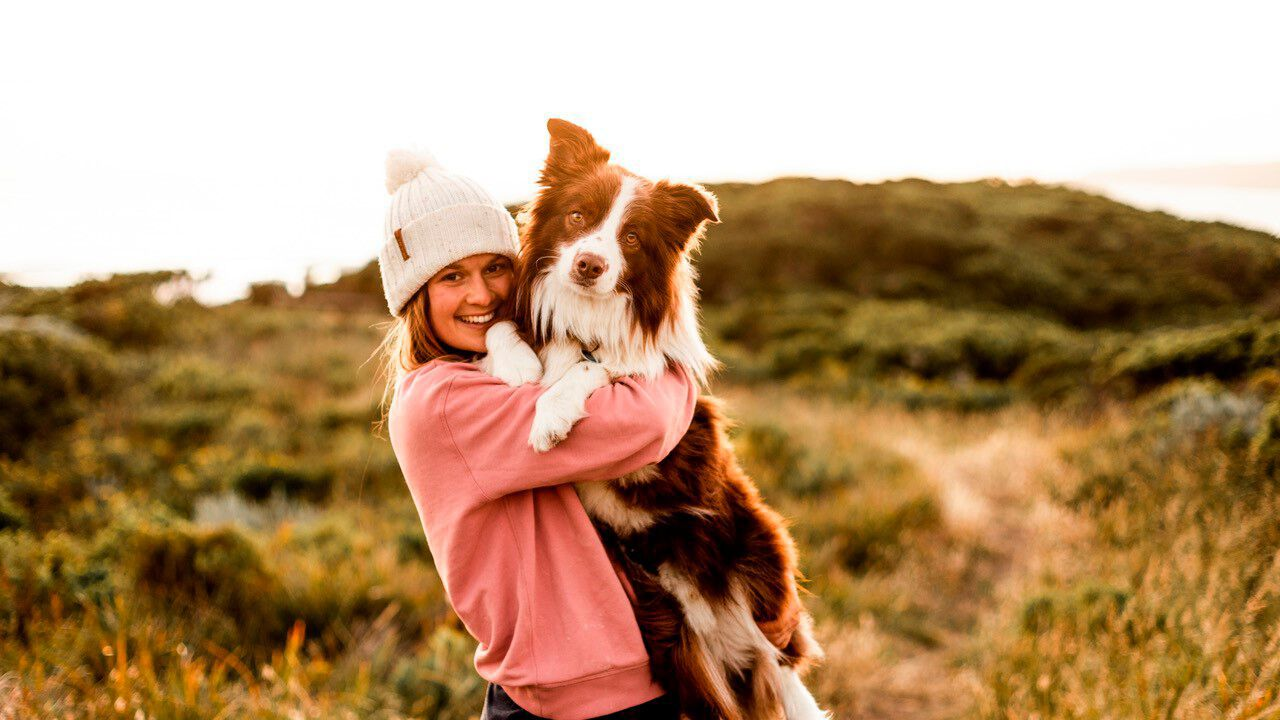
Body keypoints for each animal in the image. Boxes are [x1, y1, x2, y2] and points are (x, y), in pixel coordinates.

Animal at [481, 120, 829, 712]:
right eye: (577, 216)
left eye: (632, 238)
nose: (589, 265)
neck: (587, 316)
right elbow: (503, 329)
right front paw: (517, 364)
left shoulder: (664, 415)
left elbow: (599, 367)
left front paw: (551, 413)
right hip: (662, 614)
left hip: (759, 557)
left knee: (780, 664)